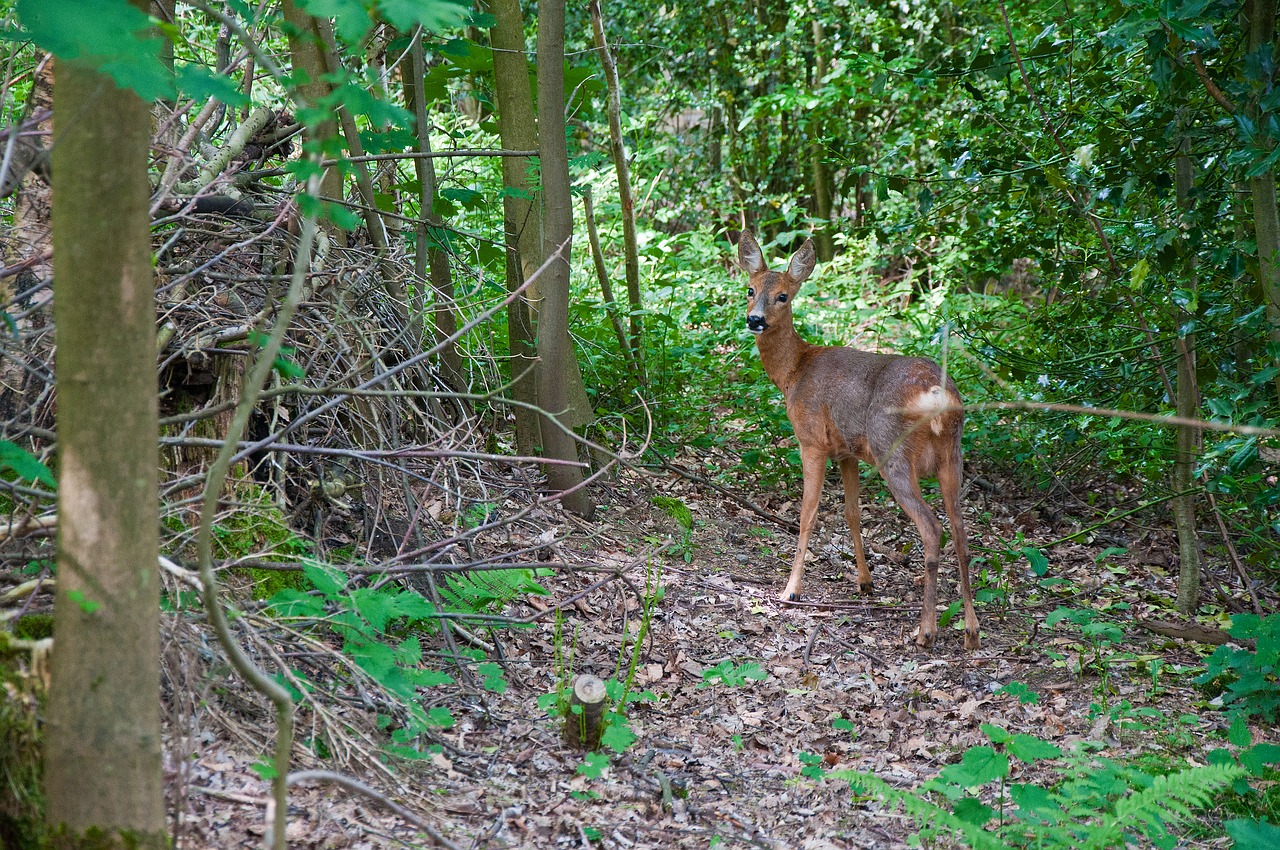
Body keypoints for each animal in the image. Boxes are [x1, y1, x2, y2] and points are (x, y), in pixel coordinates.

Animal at [742, 232, 977, 650]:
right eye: (750, 289)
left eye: (783, 295)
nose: (755, 319)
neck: (793, 372)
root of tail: (938, 396)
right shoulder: (847, 452)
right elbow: (852, 512)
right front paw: (865, 582)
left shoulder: (812, 440)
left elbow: (808, 514)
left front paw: (791, 589)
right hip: (953, 456)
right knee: (961, 532)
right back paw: (971, 631)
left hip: (892, 451)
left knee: (932, 528)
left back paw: (925, 631)